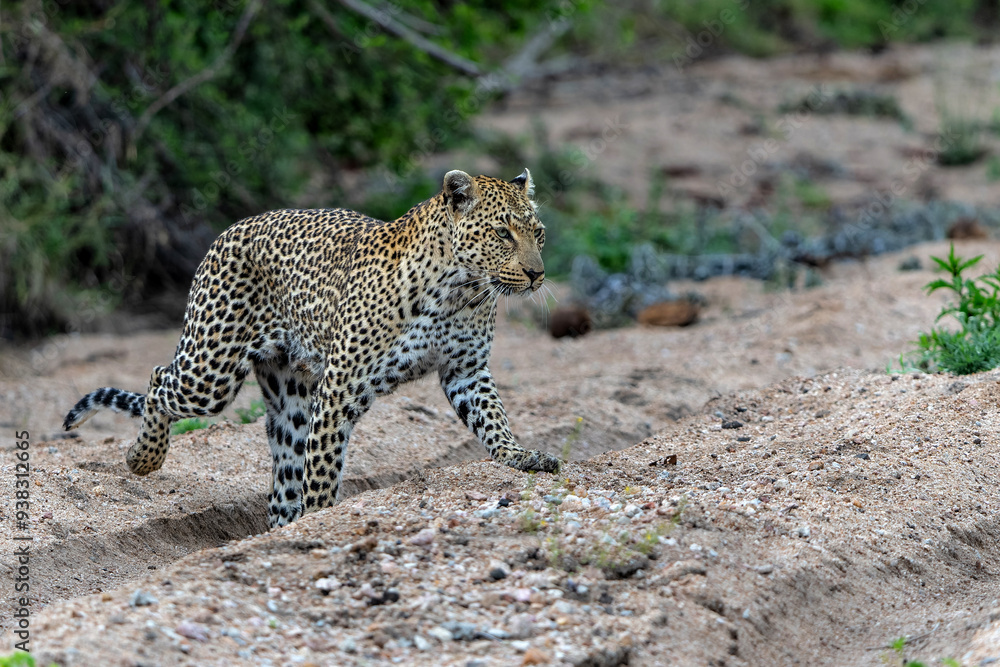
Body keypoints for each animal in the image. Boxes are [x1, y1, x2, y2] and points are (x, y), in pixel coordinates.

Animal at [63, 169, 561, 528]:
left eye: (538, 233)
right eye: (502, 233)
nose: (537, 274)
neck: (461, 291)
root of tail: (228, 230)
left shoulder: (466, 370)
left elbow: (493, 419)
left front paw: (521, 457)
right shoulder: (341, 386)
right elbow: (323, 468)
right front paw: (323, 517)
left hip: (290, 397)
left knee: (283, 479)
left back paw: (281, 529)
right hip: (210, 371)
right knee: (157, 378)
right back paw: (143, 458)